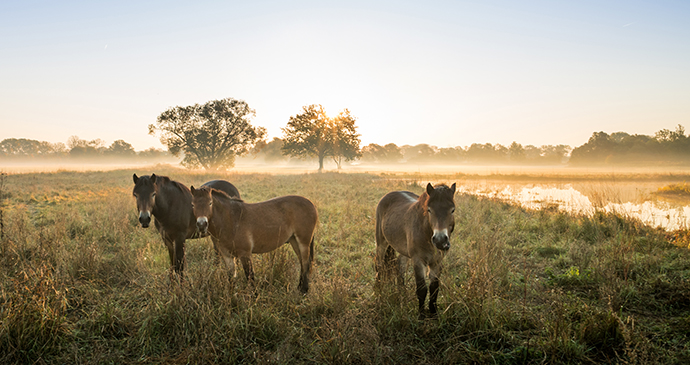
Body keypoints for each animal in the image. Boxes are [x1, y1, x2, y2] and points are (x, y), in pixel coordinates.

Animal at [188, 186, 318, 294]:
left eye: (210, 203)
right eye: (193, 205)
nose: (201, 225)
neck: (231, 220)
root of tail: (311, 204)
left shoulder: (245, 254)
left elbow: (250, 276)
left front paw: (254, 297)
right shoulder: (227, 256)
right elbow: (231, 277)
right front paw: (231, 298)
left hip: (303, 242)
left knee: (306, 262)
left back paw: (304, 290)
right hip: (294, 241)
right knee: (302, 262)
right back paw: (299, 288)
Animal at [374, 182, 454, 318]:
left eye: (452, 210)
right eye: (429, 210)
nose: (440, 240)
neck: (425, 232)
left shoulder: (437, 262)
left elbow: (434, 288)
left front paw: (434, 314)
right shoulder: (418, 261)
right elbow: (422, 289)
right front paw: (421, 316)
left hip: (403, 251)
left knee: (400, 267)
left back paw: (402, 295)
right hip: (381, 243)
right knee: (379, 265)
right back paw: (378, 292)